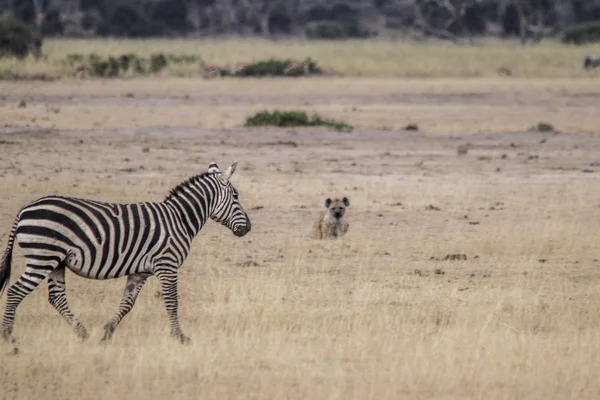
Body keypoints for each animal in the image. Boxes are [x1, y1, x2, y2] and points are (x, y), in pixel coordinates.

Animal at [0, 161, 251, 342]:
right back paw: (8, 336)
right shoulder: (167, 264)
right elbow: (172, 301)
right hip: (43, 257)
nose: (248, 227)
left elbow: (127, 304)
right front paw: (180, 337)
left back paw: (83, 333)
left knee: (56, 297)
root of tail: (24, 209)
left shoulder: (140, 271)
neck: (179, 218)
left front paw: (107, 332)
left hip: (56, 262)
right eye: (236, 196)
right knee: (15, 291)